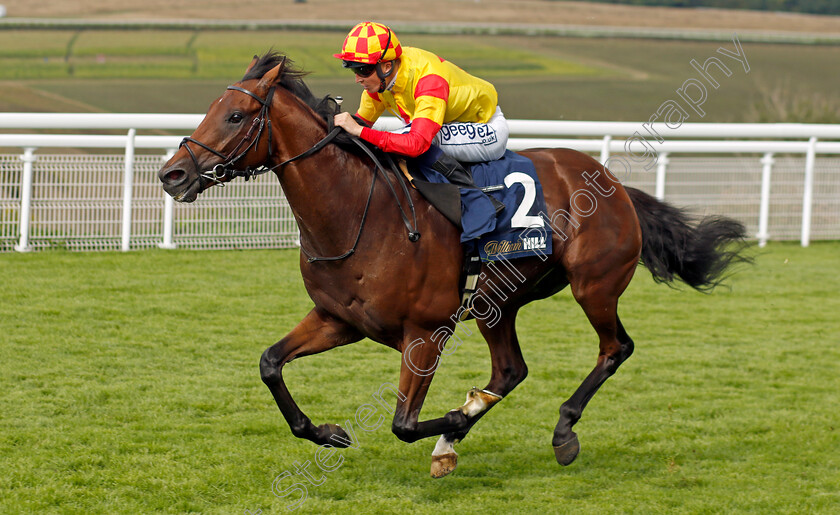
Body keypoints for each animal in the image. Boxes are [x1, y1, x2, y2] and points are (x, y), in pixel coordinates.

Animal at [158, 52, 748, 480]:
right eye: (211, 109)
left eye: (235, 116)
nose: (172, 174)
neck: (355, 212)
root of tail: (615, 183)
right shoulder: (339, 319)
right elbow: (269, 364)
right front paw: (329, 432)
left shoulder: (425, 331)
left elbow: (402, 423)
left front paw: (455, 424)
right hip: (495, 303)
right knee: (510, 370)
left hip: (593, 287)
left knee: (614, 348)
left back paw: (560, 432)